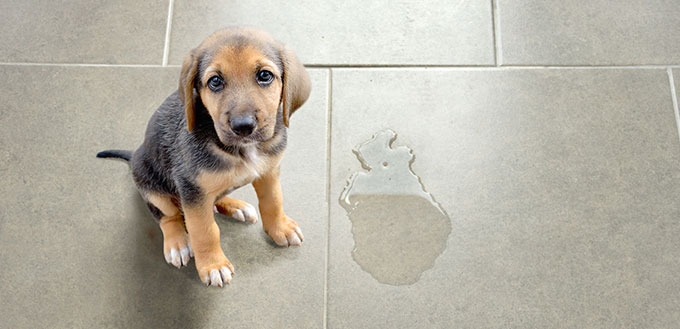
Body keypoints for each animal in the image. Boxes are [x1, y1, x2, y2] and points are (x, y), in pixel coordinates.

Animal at [96, 26, 310, 286]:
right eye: (215, 81)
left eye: (265, 76)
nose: (243, 127)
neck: (241, 150)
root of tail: (135, 153)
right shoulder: (192, 189)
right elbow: (204, 231)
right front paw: (213, 265)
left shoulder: (269, 171)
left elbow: (273, 202)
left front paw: (280, 228)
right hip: (151, 184)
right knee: (167, 216)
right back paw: (177, 243)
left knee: (214, 199)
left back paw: (236, 206)